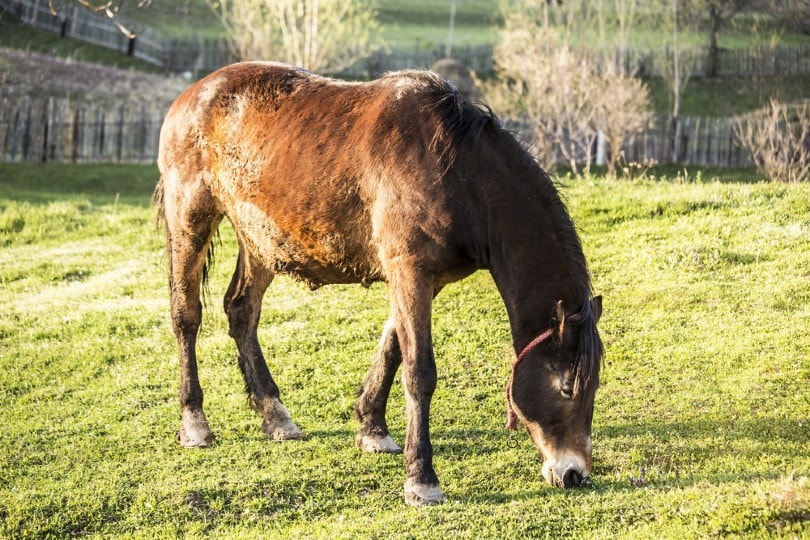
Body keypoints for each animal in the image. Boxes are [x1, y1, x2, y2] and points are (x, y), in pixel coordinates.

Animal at [153, 62, 604, 506]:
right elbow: (419, 372)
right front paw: (421, 479)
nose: (574, 473)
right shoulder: (409, 272)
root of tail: (191, 95)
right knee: (186, 317)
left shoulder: (420, 279)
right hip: (189, 217)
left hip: (261, 239)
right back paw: (194, 423)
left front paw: (372, 427)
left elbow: (392, 349)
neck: (460, 173)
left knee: (242, 310)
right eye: (567, 388)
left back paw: (274, 413)